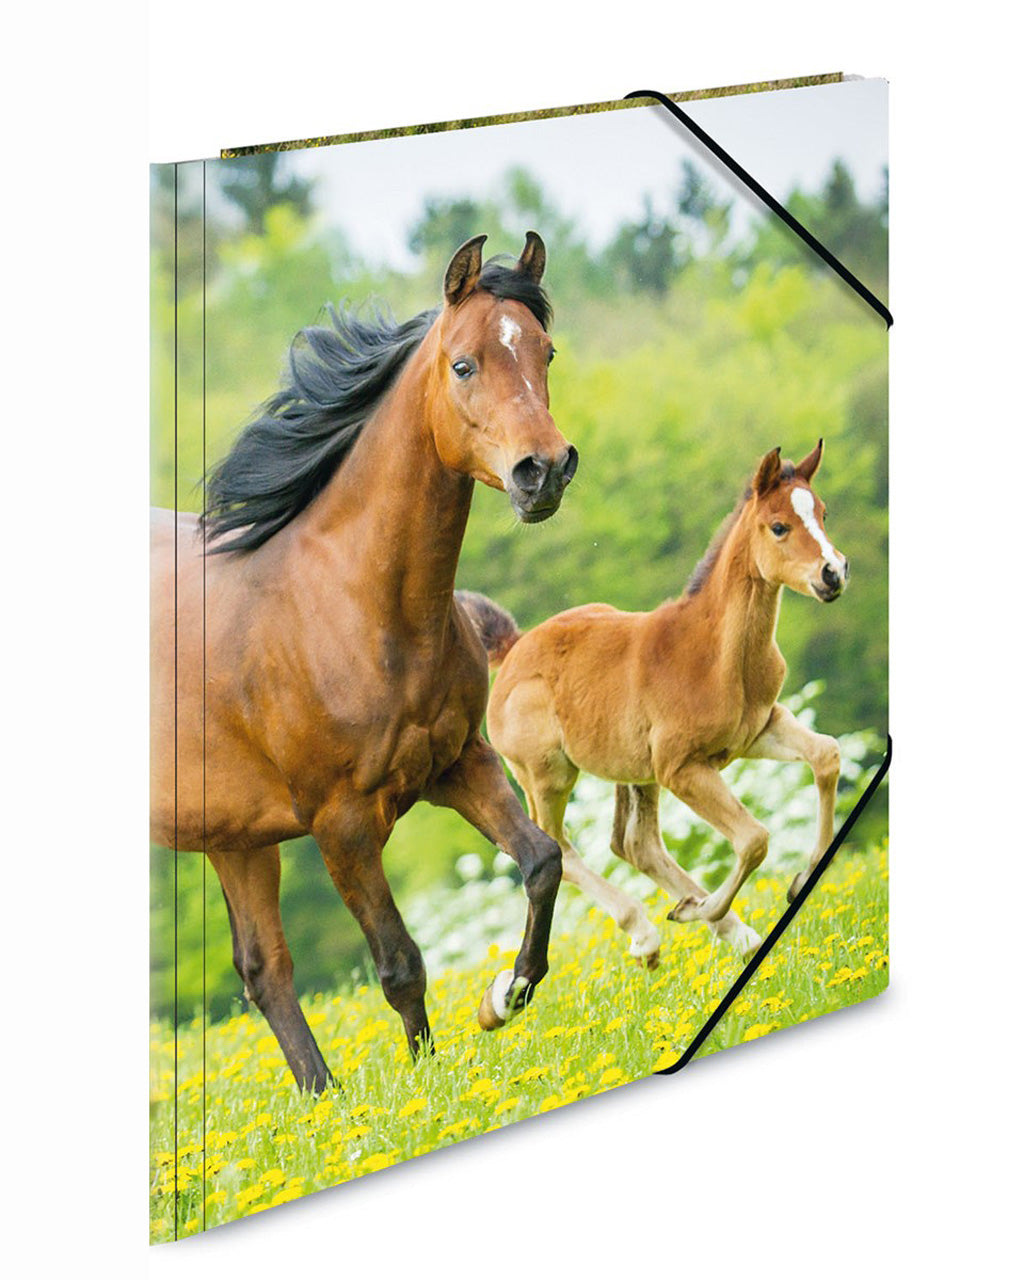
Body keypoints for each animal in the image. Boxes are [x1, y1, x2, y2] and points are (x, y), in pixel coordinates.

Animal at [150, 233, 579, 1092]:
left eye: (544, 350)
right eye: (464, 364)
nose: (543, 471)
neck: (351, 606)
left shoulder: (459, 763)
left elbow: (543, 861)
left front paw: (505, 995)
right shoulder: (341, 823)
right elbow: (400, 962)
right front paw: (427, 1084)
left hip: (233, 838)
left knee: (264, 970)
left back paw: (323, 1101)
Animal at [461, 441, 847, 969]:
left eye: (823, 513)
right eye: (779, 526)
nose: (834, 573)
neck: (716, 654)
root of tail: (514, 648)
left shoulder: (761, 728)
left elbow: (826, 756)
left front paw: (798, 881)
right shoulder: (680, 767)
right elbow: (754, 839)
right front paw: (702, 908)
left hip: (632, 770)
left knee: (634, 844)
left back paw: (730, 929)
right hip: (547, 775)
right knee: (558, 845)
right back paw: (649, 932)